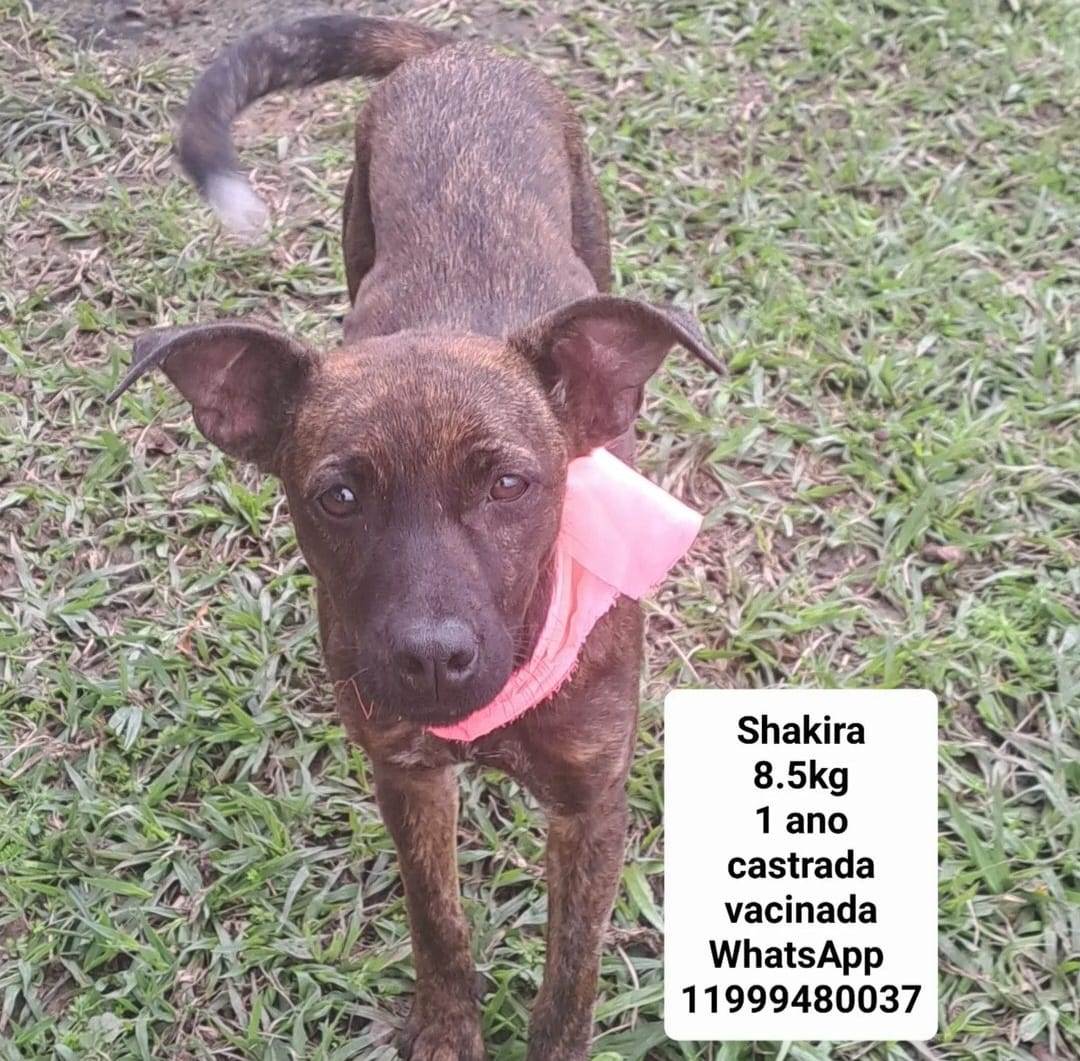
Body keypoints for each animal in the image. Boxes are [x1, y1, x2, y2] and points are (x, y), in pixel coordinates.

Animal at [111, 15, 721, 1060]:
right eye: (339, 496)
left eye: (511, 485)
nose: (433, 659)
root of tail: (456, 52)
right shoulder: (404, 770)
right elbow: (439, 920)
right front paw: (444, 1029)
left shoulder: (592, 806)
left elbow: (572, 975)